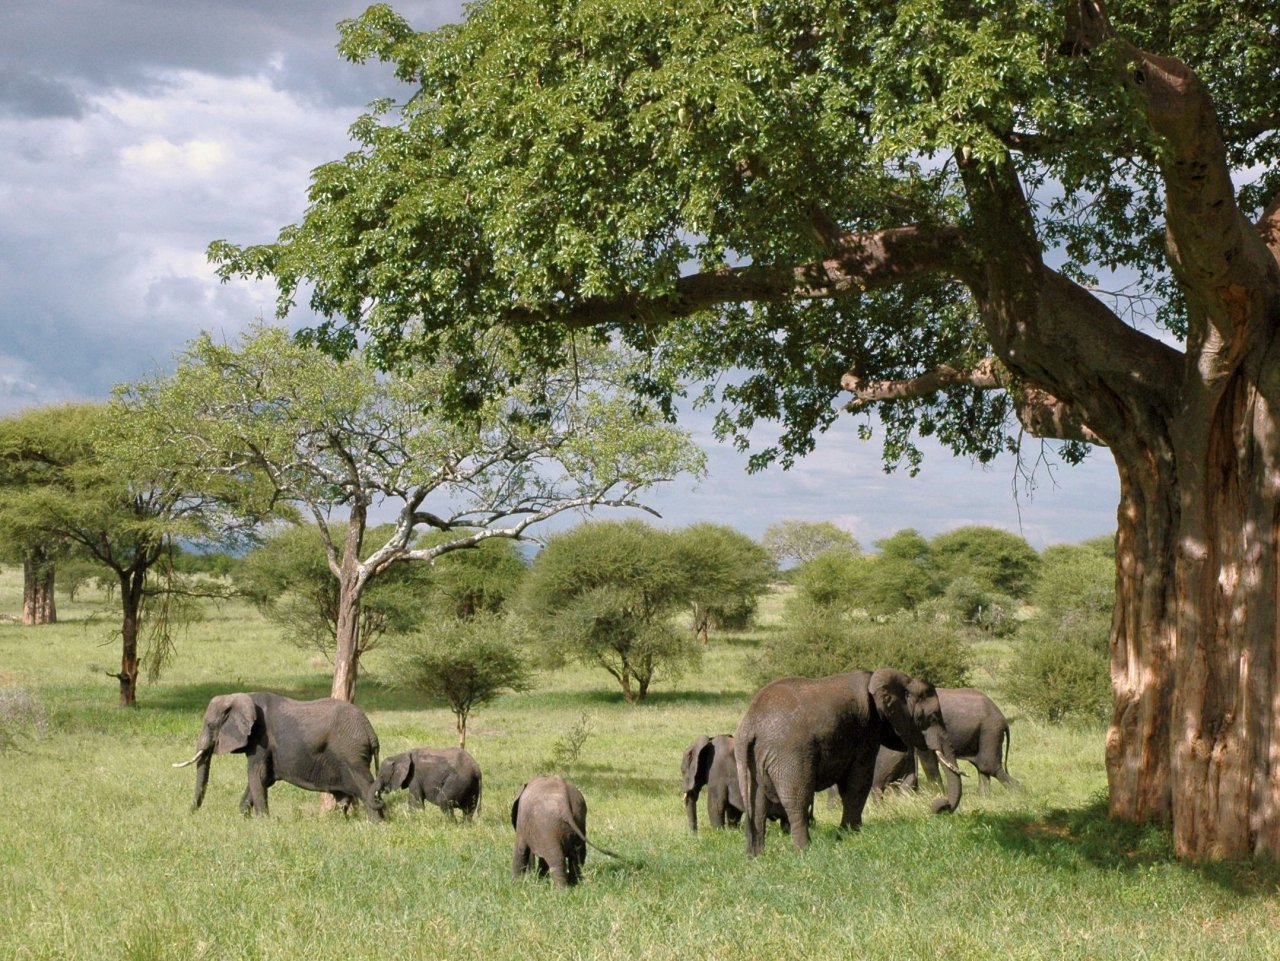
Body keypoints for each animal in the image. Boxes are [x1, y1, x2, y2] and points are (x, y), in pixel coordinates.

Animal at [174, 690, 384, 818]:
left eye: (210, 725)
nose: (191, 814)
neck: (240, 697)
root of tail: (370, 731)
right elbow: (263, 778)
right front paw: (244, 817)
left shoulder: (261, 739)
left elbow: (256, 775)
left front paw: (262, 821)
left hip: (351, 753)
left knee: (365, 786)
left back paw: (377, 823)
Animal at [737, 670, 957, 854]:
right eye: (933, 717)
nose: (940, 806)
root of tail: (750, 725)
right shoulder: (867, 729)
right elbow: (858, 782)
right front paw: (849, 836)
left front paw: (847, 835)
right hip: (790, 754)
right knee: (797, 799)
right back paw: (805, 851)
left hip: (753, 759)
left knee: (758, 805)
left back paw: (756, 856)